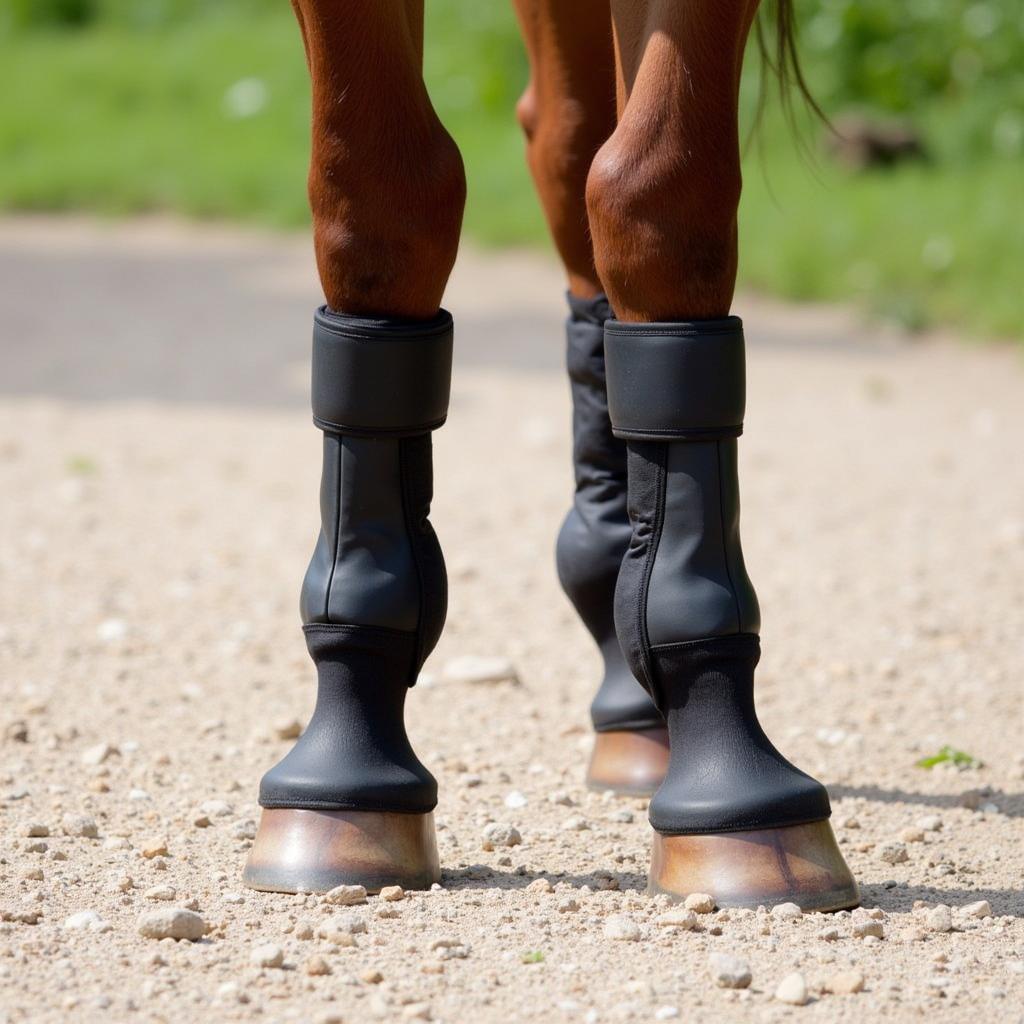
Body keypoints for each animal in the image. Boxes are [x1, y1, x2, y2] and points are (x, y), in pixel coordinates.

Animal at [239, 0, 856, 913]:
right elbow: (382, 199)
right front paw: (344, 782)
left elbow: (661, 200)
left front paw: (738, 799)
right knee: (567, 155)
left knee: (589, 173)